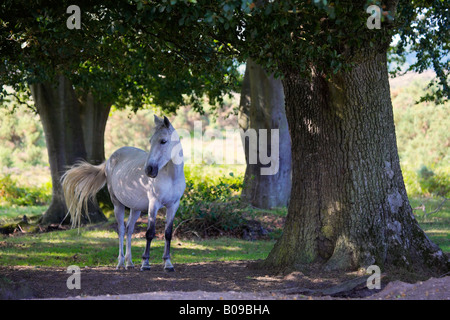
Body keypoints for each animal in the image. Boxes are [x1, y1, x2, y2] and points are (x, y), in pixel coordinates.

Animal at [61, 116, 185, 272]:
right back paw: (120, 263)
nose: (149, 170)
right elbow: (150, 233)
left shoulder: (173, 206)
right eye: (151, 141)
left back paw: (129, 262)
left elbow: (168, 234)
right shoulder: (153, 205)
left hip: (136, 209)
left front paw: (168, 263)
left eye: (163, 141)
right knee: (120, 230)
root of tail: (109, 160)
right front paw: (145, 263)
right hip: (117, 204)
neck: (171, 176)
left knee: (129, 230)